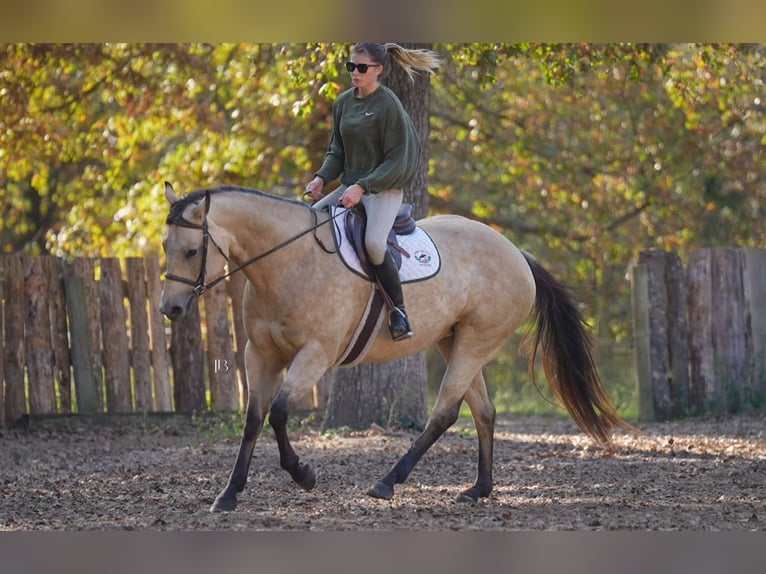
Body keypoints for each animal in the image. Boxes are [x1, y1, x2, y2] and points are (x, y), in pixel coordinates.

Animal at [159, 182, 632, 512]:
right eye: (166, 246)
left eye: (193, 250)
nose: (170, 309)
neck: (287, 263)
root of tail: (517, 252)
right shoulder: (260, 355)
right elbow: (253, 421)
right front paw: (228, 493)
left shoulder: (315, 355)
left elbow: (277, 414)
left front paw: (304, 474)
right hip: (454, 340)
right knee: (483, 411)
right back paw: (478, 489)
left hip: (477, 341)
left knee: (445, 413)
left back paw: (388, 482)